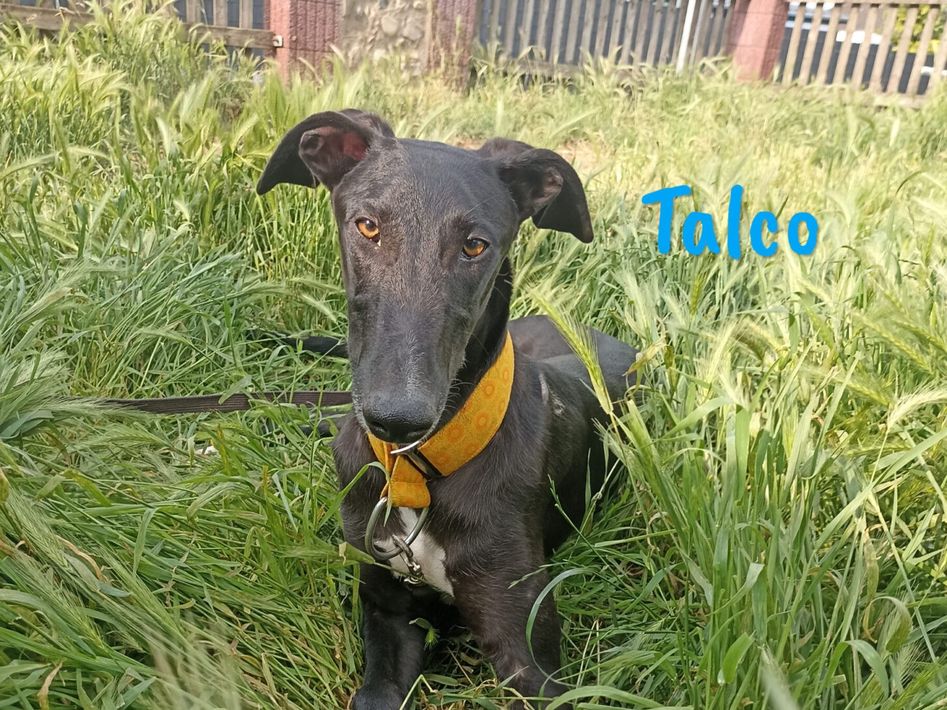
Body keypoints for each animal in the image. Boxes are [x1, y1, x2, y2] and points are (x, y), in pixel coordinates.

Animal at [256, 109, 637, 708]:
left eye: (475, 245)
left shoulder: (529, 655)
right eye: (368, 226)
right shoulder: (386, 609)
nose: (396, 419)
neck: (419, 471)